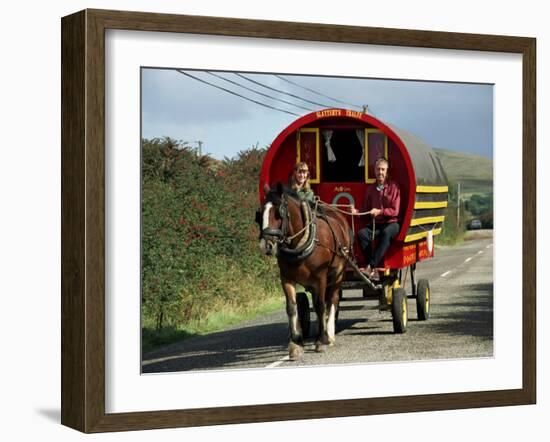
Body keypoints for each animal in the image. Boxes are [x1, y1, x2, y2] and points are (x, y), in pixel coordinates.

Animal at [258, 183, 354, 360]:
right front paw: (296, 343)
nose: (266, 245)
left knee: (332, 299)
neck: (299, 243)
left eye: (279, 212)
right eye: (260, 213)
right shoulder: (286, 278)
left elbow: (320, 306)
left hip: (338, 273)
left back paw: (330, 334)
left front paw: (320, 340)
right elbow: (291, 307)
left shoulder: (320, 277)